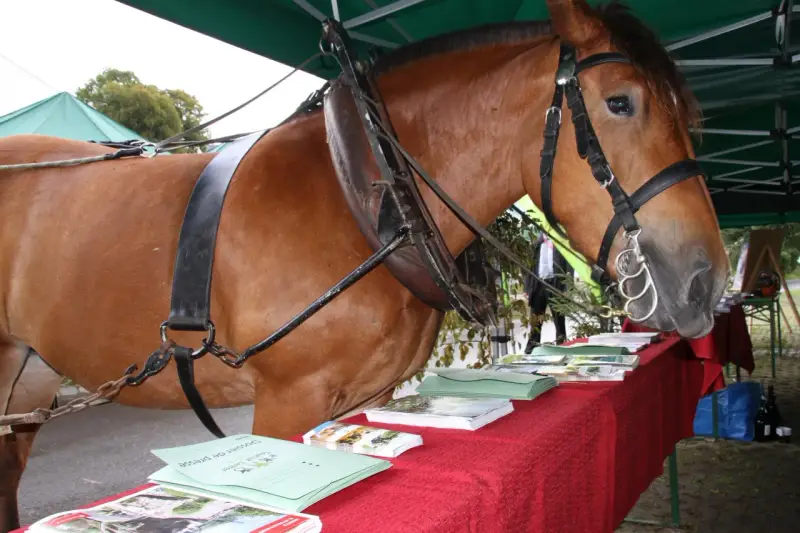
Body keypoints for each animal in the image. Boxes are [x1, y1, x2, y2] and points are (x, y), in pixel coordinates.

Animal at [0, 1, 728, 529]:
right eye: (620, 101)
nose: (708, 281)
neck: (362, 193)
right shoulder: (288, 401)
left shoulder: (369, 399)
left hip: (27, 387)